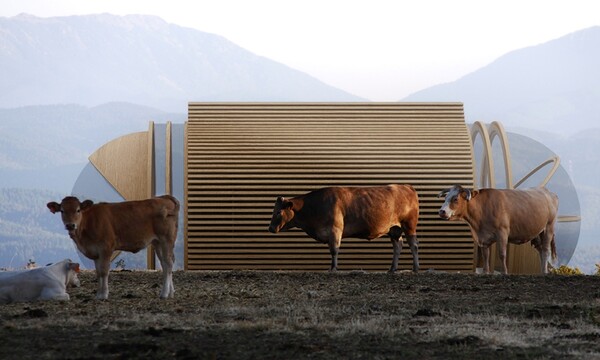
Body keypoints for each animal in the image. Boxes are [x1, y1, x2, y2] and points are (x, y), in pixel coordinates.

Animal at [47, 195, 179, 300]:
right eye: (62, 211)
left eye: (78, 210)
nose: (70, 225)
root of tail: (163, 197)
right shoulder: (95, 252)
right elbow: (98, 272)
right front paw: (98, 294)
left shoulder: (105, 248)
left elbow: (104, 271)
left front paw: (104, 295)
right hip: (157, 242)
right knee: (165, 263)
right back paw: (171, 292)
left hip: (166, 239)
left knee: (168, 263)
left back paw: (164, 293)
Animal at [270, 184, 420, 272]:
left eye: (278, 212)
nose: (270, 228)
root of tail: (406, 186)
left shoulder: (335, 230)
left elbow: (334, 250)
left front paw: (333, 268)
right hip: (394, 229)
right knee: (398, 246)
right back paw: (392, 269)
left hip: (409, 225)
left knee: (413, 245)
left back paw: (415, 268)